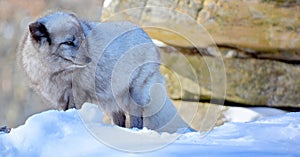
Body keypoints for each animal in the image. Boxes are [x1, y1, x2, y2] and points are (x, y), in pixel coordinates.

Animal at [19, 11, 192, 132]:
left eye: (83, 40)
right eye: (69, 42)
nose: (89, 60)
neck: (56, 72)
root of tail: (146, 36)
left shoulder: (77, 95)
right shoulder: (60, 99)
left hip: (134, 94)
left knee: (136, 117)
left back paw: (134, 132)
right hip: (111, 100)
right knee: (121, 118)